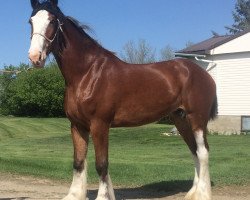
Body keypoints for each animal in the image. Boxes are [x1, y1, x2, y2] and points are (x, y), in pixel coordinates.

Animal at [27, 0, 217, 199]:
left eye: (52, 21)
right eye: (30, 21)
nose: (35, 57)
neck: (87, 73)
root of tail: (202, 73)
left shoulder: (99, 124)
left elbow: (101, 164)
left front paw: (103, 196)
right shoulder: (77, 125)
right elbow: (78, 162)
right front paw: (75, 194)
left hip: (197, 118)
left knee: (203, 152)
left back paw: (203, 193)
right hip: (180, 119)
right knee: (194, 151)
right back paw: (193, 193)